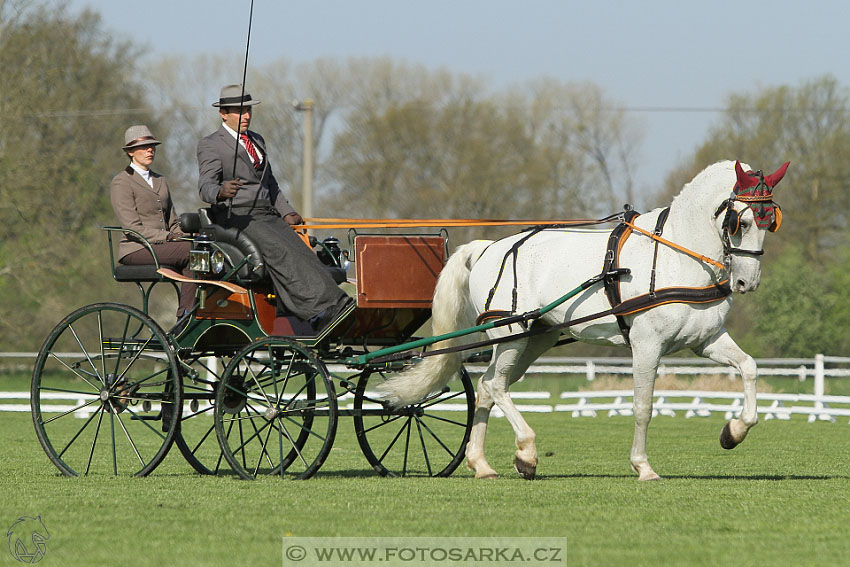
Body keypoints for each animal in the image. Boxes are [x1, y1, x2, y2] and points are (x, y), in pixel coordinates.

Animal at [378, 161, 788, 484]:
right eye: (740, 222)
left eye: (770, 222)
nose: (747, 282)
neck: (677, 254)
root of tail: (488, 248)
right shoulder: (646, 346)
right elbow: (643, 406)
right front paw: (643, 466)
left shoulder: (706, 340)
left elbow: (749, 367)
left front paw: (733, 432)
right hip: (511, 334)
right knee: (494, 386)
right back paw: (526, 452)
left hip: (533, 339)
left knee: (487, 386)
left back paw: (482, 464)